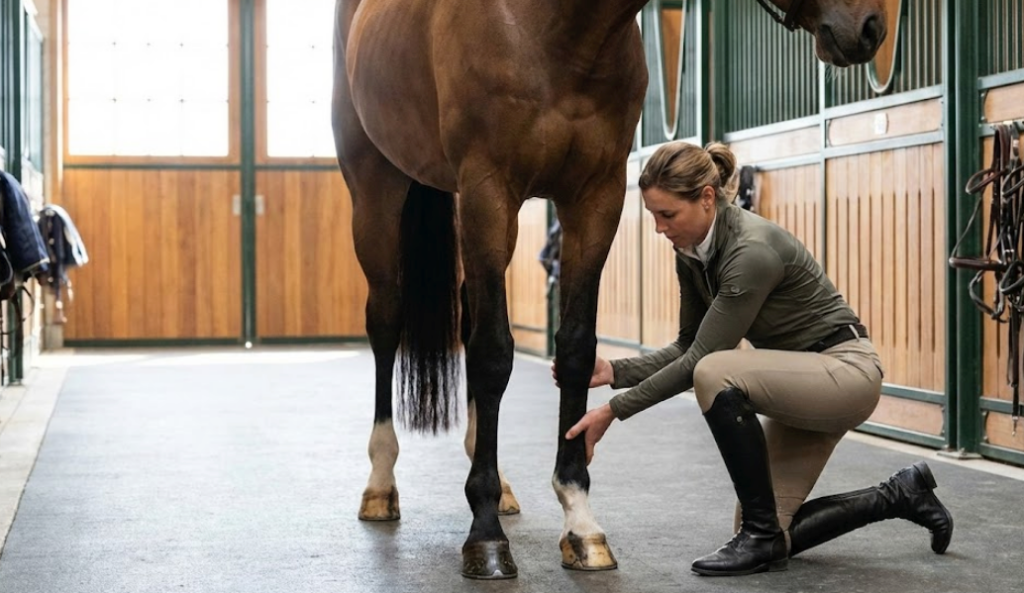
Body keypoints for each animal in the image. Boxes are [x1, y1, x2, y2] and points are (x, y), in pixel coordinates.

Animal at [332, 0, 887, 579]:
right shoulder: (489, 190)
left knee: (466, 315)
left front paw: (580, 524)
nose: (870, 26)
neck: (552, 33)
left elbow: (576, 351)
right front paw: (484, 537)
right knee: (386, 320)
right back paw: (381, 487)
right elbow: (492, 354)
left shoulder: (595, 199)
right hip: (378, 189)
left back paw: (499, 485)